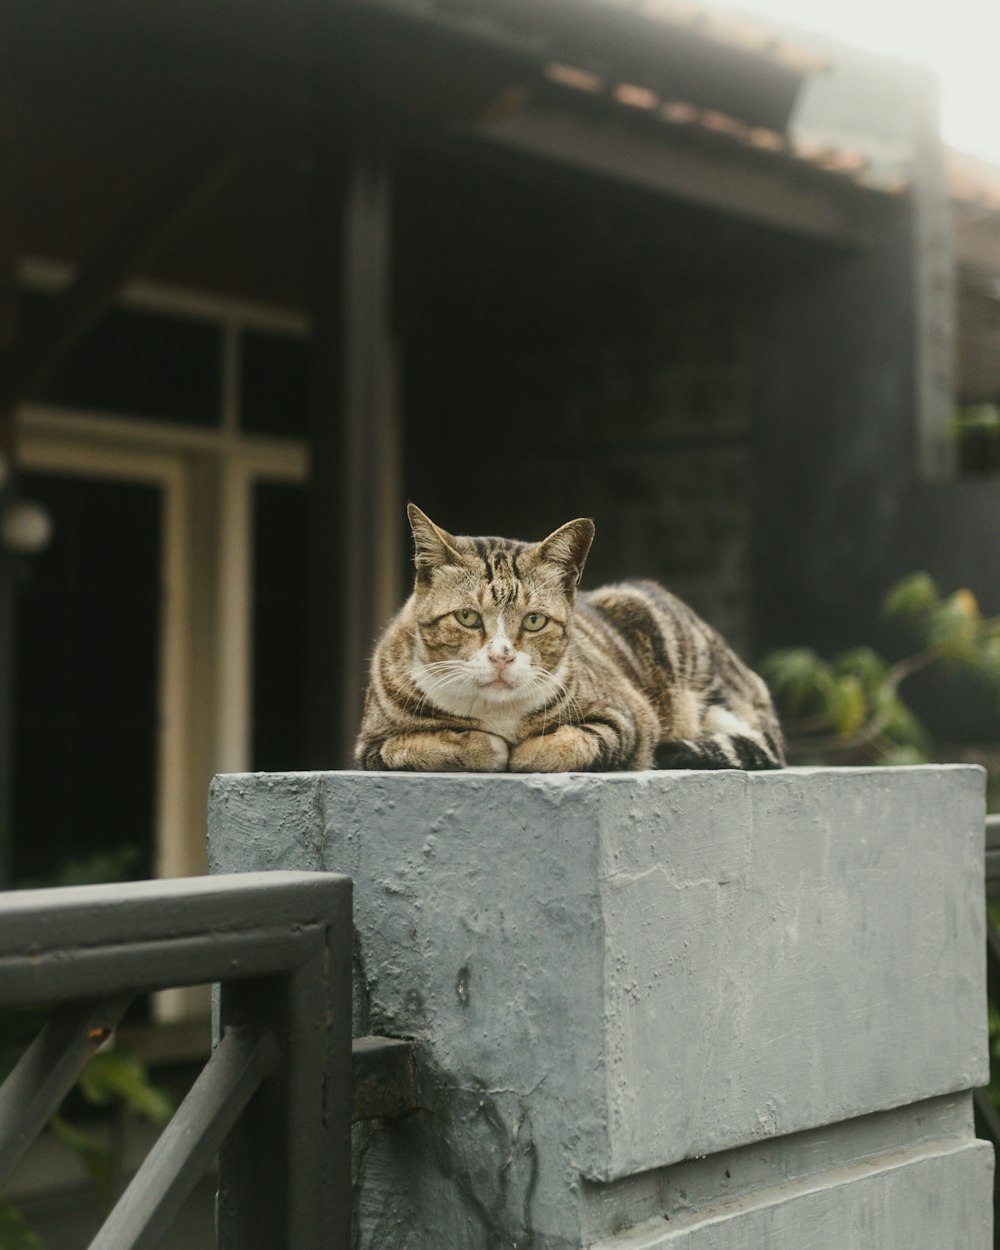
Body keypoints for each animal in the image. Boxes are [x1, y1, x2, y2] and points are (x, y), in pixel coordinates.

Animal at [355, 507, 785, 770]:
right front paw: (484, 745)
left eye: (533, 621)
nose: (501, 656)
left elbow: (571, 743)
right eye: (466, 617)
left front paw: (522, 751)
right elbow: (415, 745)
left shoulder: (629, 717)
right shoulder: (369, 745)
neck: (496, 712)